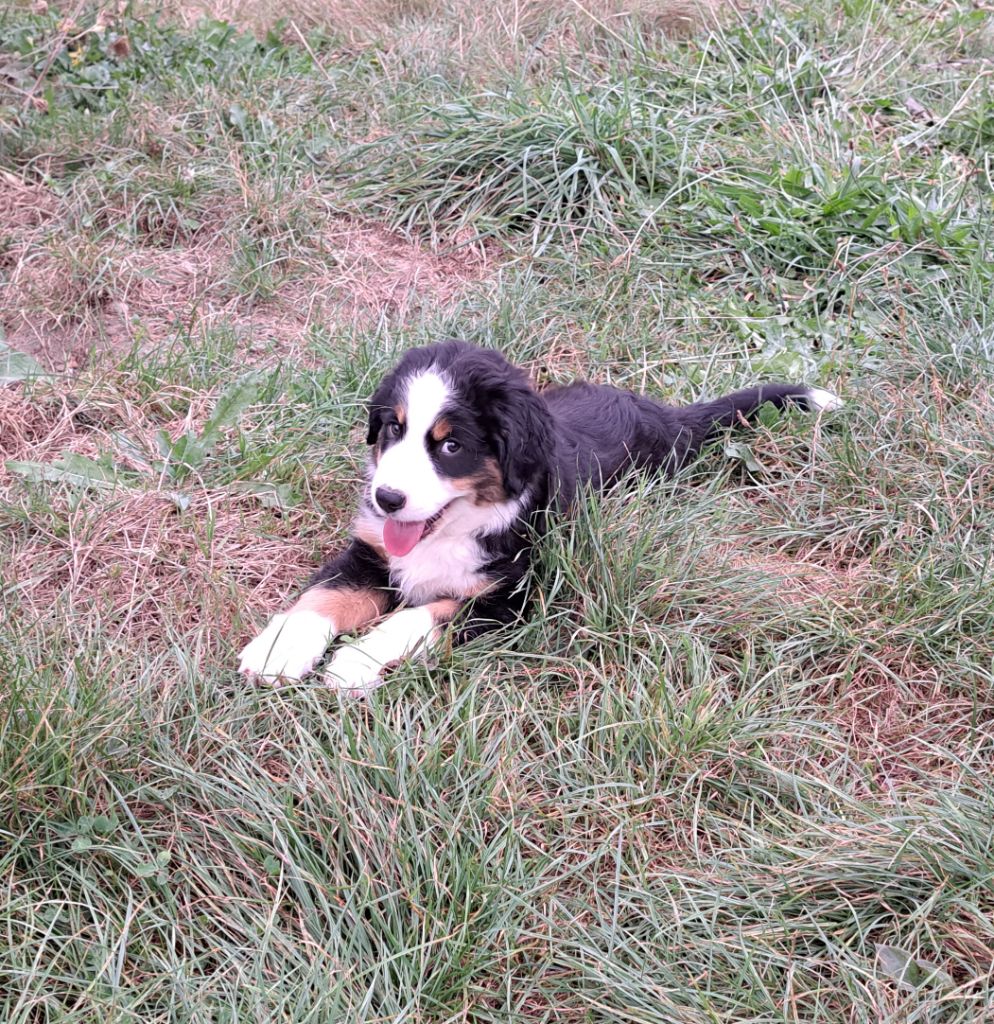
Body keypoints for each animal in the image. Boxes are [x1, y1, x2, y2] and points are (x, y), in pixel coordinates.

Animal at [238, 339, 840, 694]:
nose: (387, 499)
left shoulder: (512, 597)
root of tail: (668, 416)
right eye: (393, 428)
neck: (458, 526)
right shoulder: (371, 552)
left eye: (451, 446)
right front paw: (278, 650)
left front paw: (355, 661)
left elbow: (421, 615)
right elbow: (321, 598)